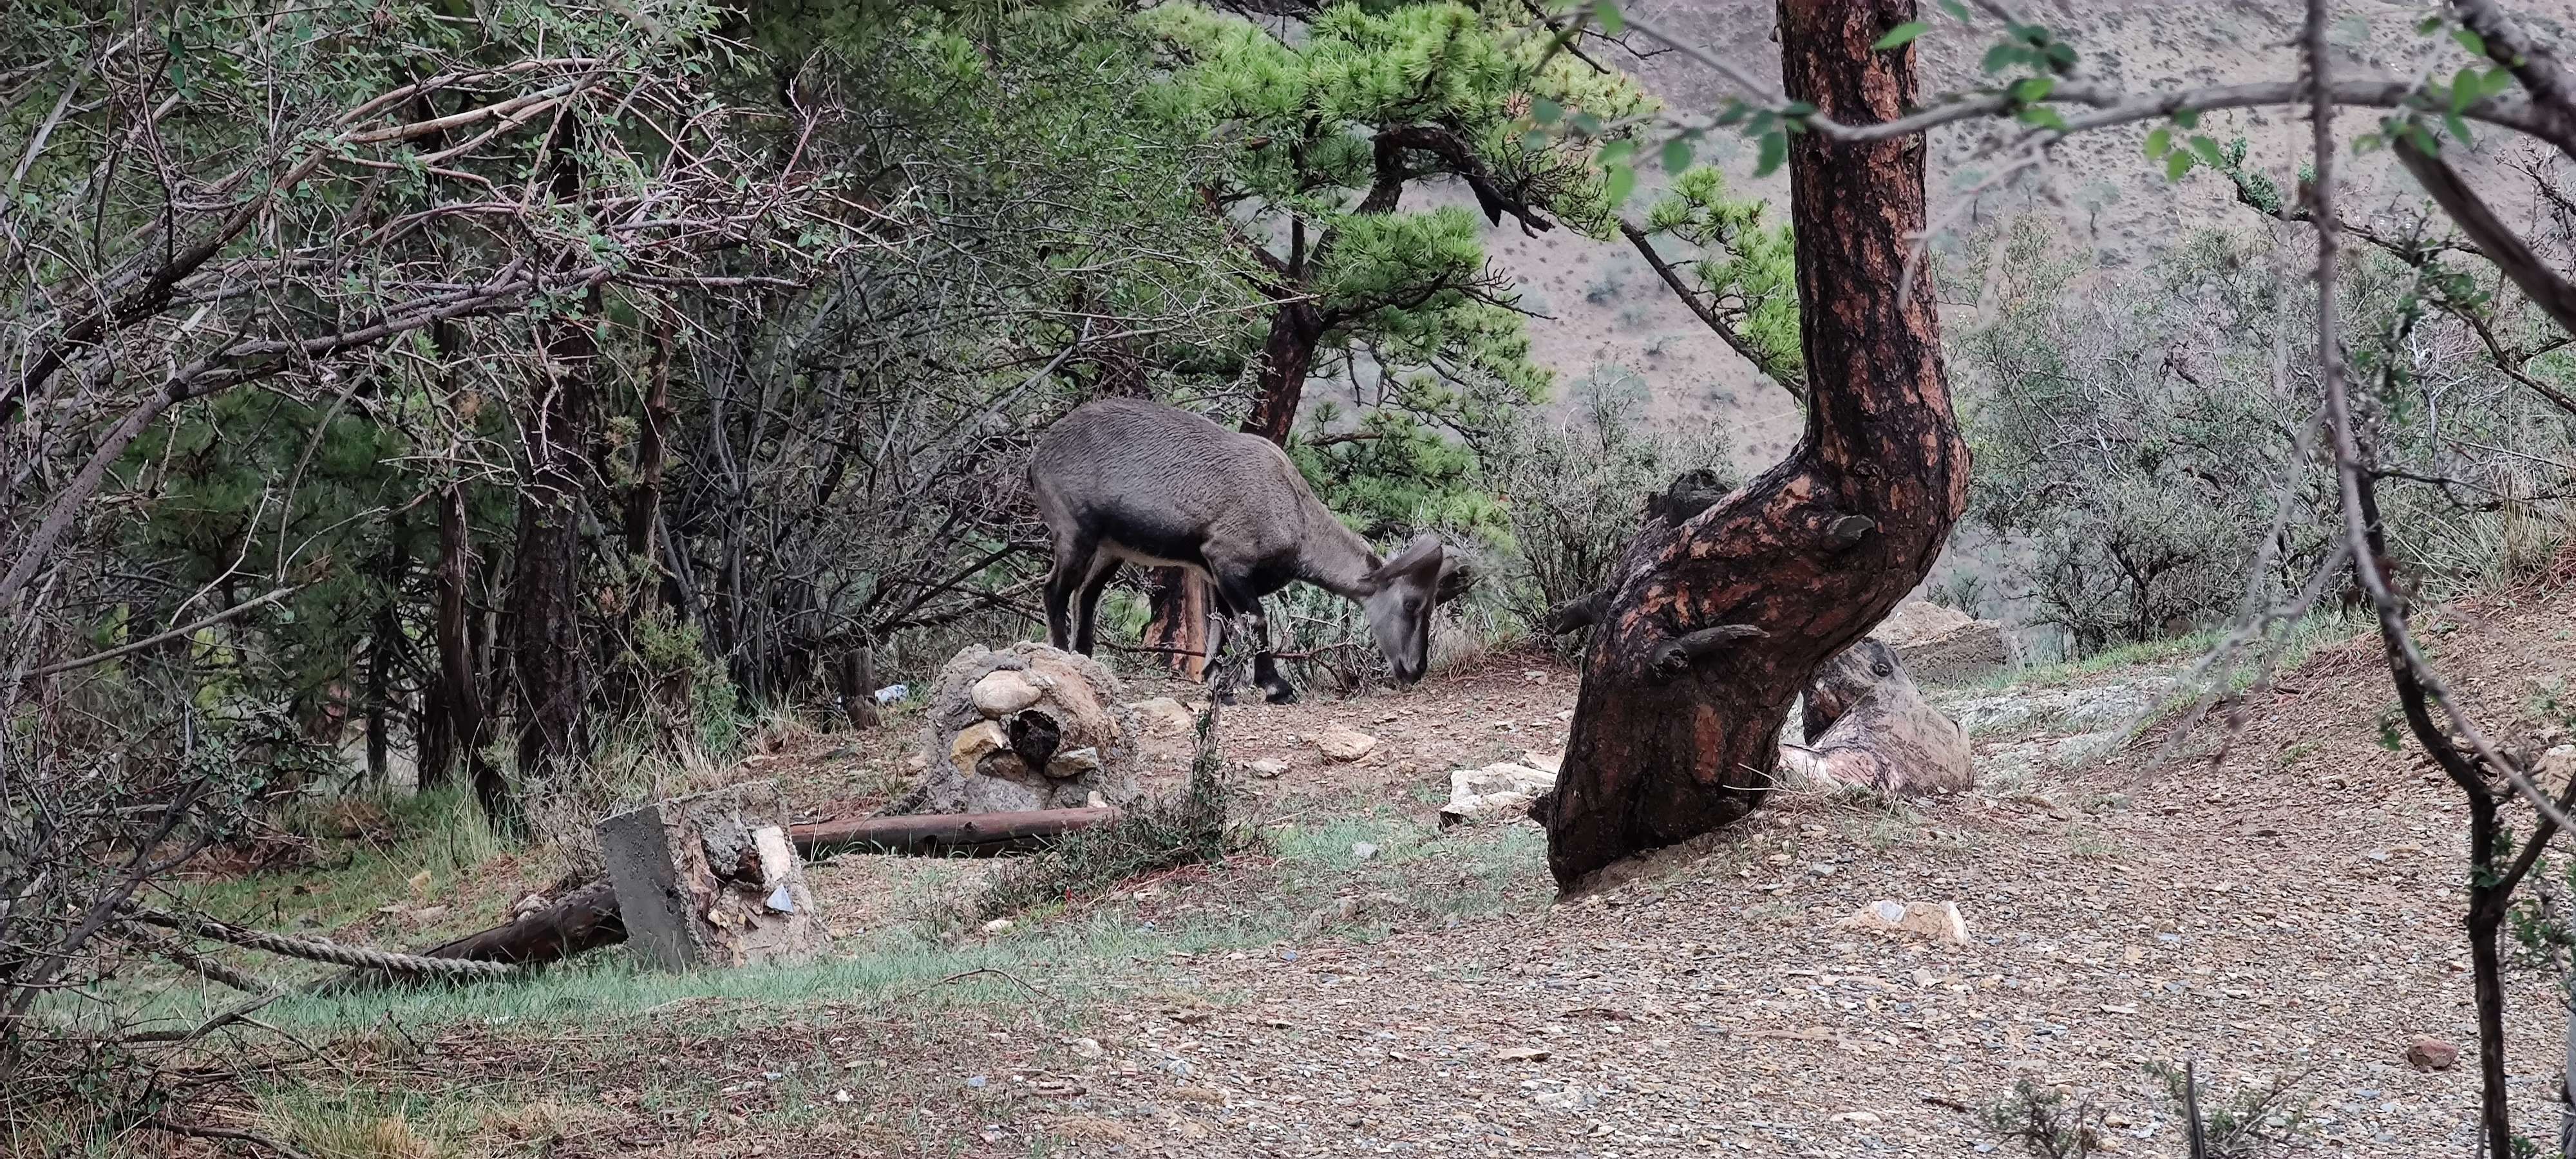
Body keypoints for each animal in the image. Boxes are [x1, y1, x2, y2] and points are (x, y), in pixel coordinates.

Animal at [1030, 399, 1473, 701]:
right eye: (1413, 604)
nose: (1415, 669)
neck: (1293, 512)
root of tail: (1039, 456)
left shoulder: (1216, 577)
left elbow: (1221, 626)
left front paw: (1217, 682)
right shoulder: (1227, 560)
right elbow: (1256, 621)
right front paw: (1276, 686)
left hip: (1111, 549)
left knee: (1086, 594)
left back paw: (1085, 657)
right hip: (1075, 532)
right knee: (1055, 588)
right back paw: (1061, 653)